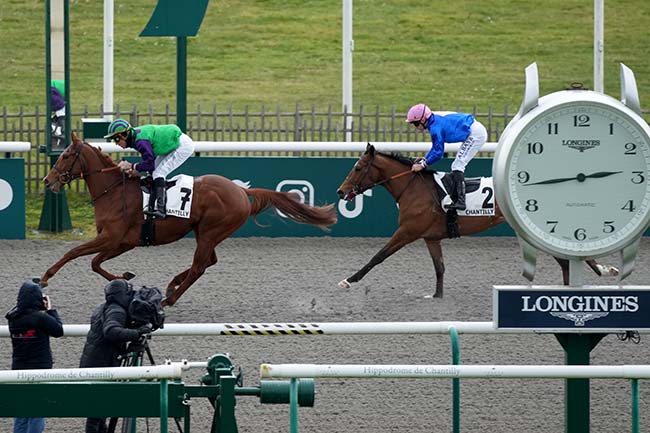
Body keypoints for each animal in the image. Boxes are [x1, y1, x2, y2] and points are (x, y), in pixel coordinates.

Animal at [43, 132, 336, 304]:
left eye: (66, 155)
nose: (47, 180)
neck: (114, 191)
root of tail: (241, 191)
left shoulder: (112, 238)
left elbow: (74, 253)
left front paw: (44, 277)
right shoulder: (121, 242)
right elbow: (95, 263)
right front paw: (125, 276)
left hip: (209, 232)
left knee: (199, 267)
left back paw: (169, 299)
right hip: (205, 232)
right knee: (208, 262)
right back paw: (172, 285)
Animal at [336, 143, 616, 296]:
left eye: (357, 168)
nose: (340, 191)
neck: (412, 187)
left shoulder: (407, 231)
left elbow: (378, 256)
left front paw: (348, 280)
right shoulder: (430, 237)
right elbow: (439, 268)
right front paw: (437, 296)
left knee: (565, 260)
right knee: (566, 260)